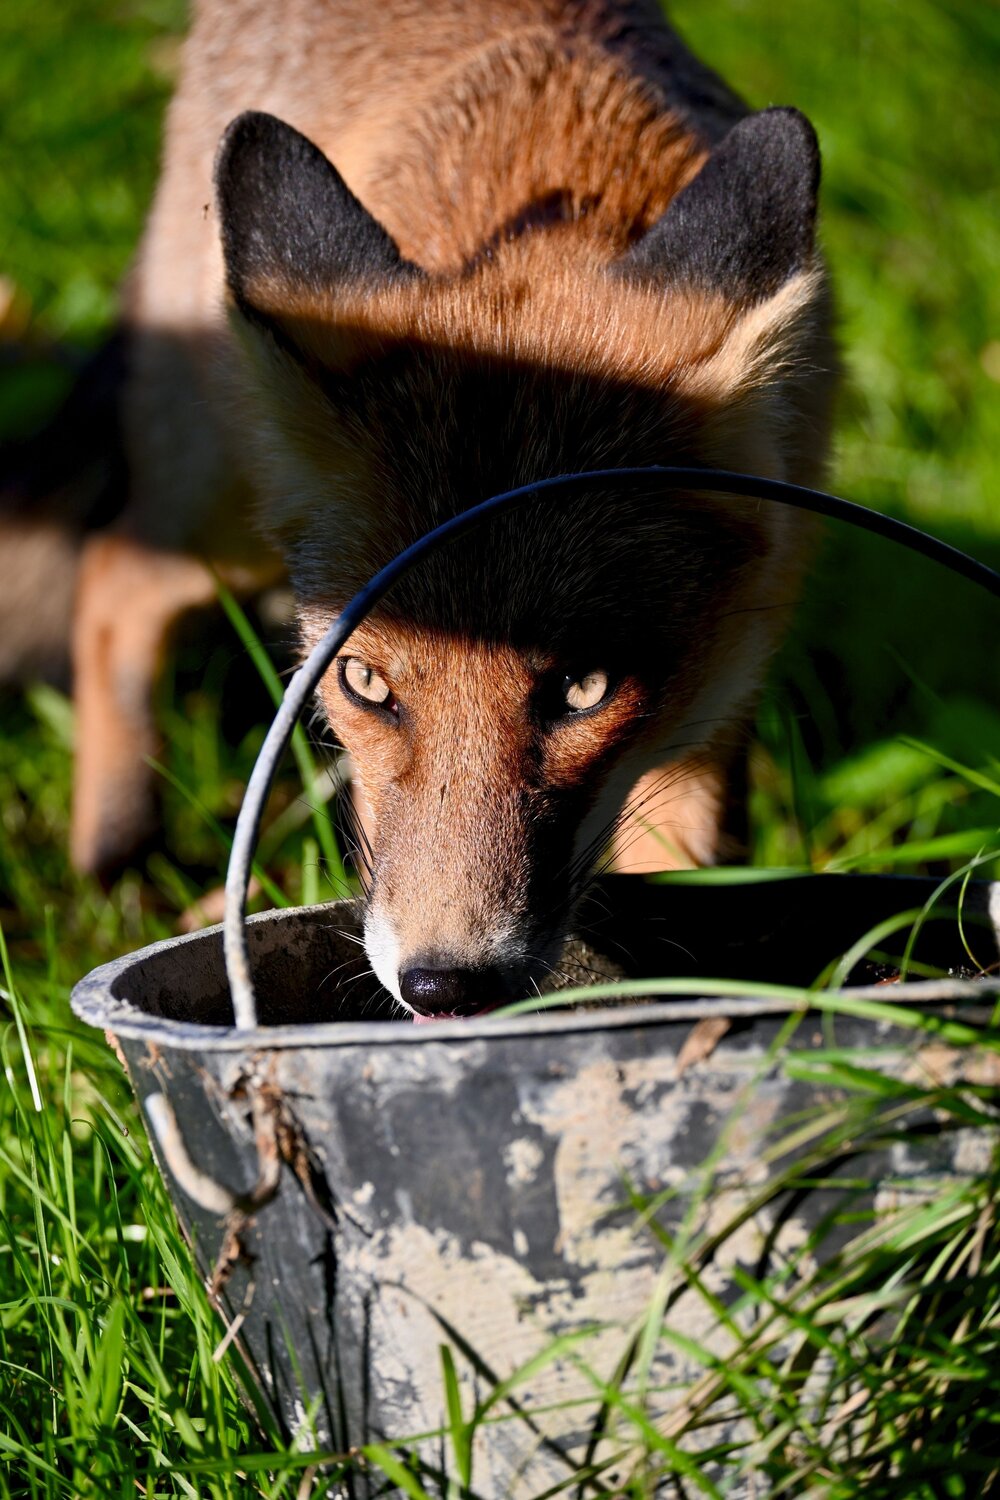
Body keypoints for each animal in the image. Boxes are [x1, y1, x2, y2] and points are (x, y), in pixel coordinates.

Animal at [26, 0, 836, 1017]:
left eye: (584, 689)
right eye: (365, 684)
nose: (443, 987)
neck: (550, 160)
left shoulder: (725, 685)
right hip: (224, 501)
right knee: (112, 579)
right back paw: (116, 847)